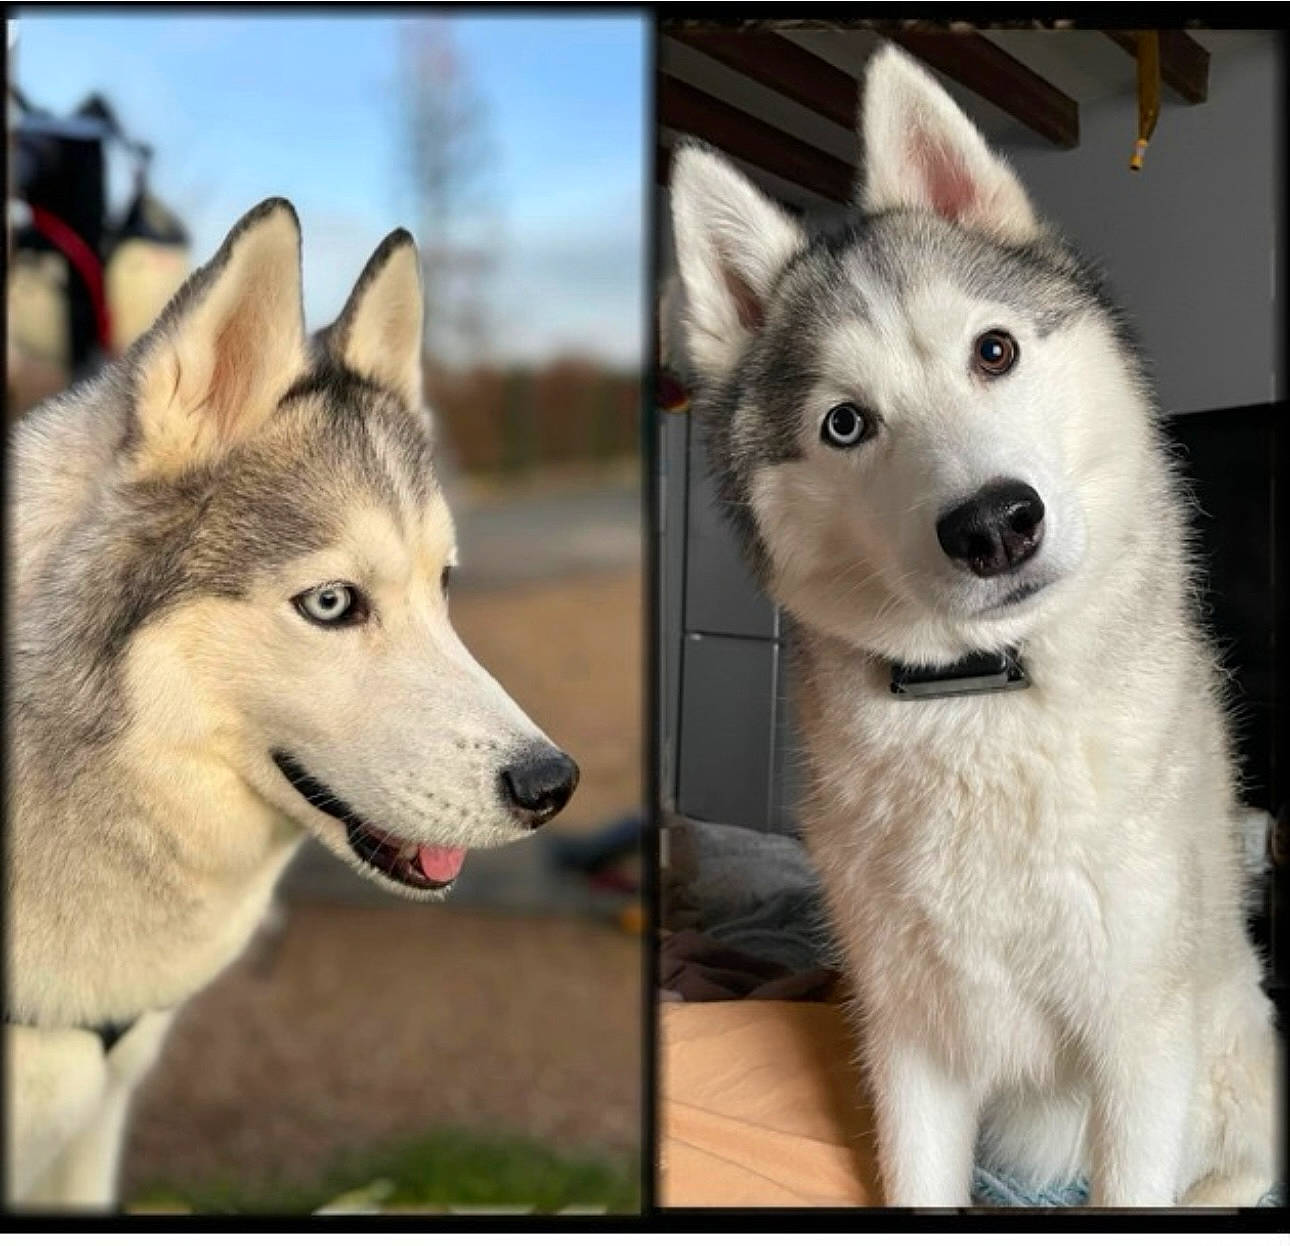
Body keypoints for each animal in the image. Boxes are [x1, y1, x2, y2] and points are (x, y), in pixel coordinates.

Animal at [670, 45, 1279, 1207]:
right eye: (845, 424)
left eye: (993, 352)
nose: (994, 524)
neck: (986, 695)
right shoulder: (910, 1041)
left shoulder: (1141, 1047)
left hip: (1230, 1046)